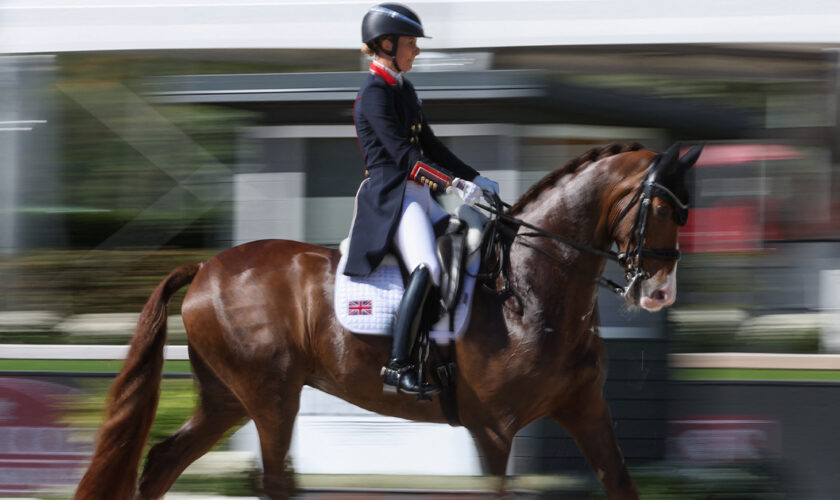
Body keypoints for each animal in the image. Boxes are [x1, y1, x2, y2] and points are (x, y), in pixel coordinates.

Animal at [74, 142, 704, 500]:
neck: (530, 284)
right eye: (661, 207)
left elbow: (621, 482)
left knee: (162, 463)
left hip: (226, 399)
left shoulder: (585, 407)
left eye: (687, 211)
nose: (659, 293)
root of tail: (205, 266)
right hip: (271, 396)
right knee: (274, 480)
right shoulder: (494, 428)